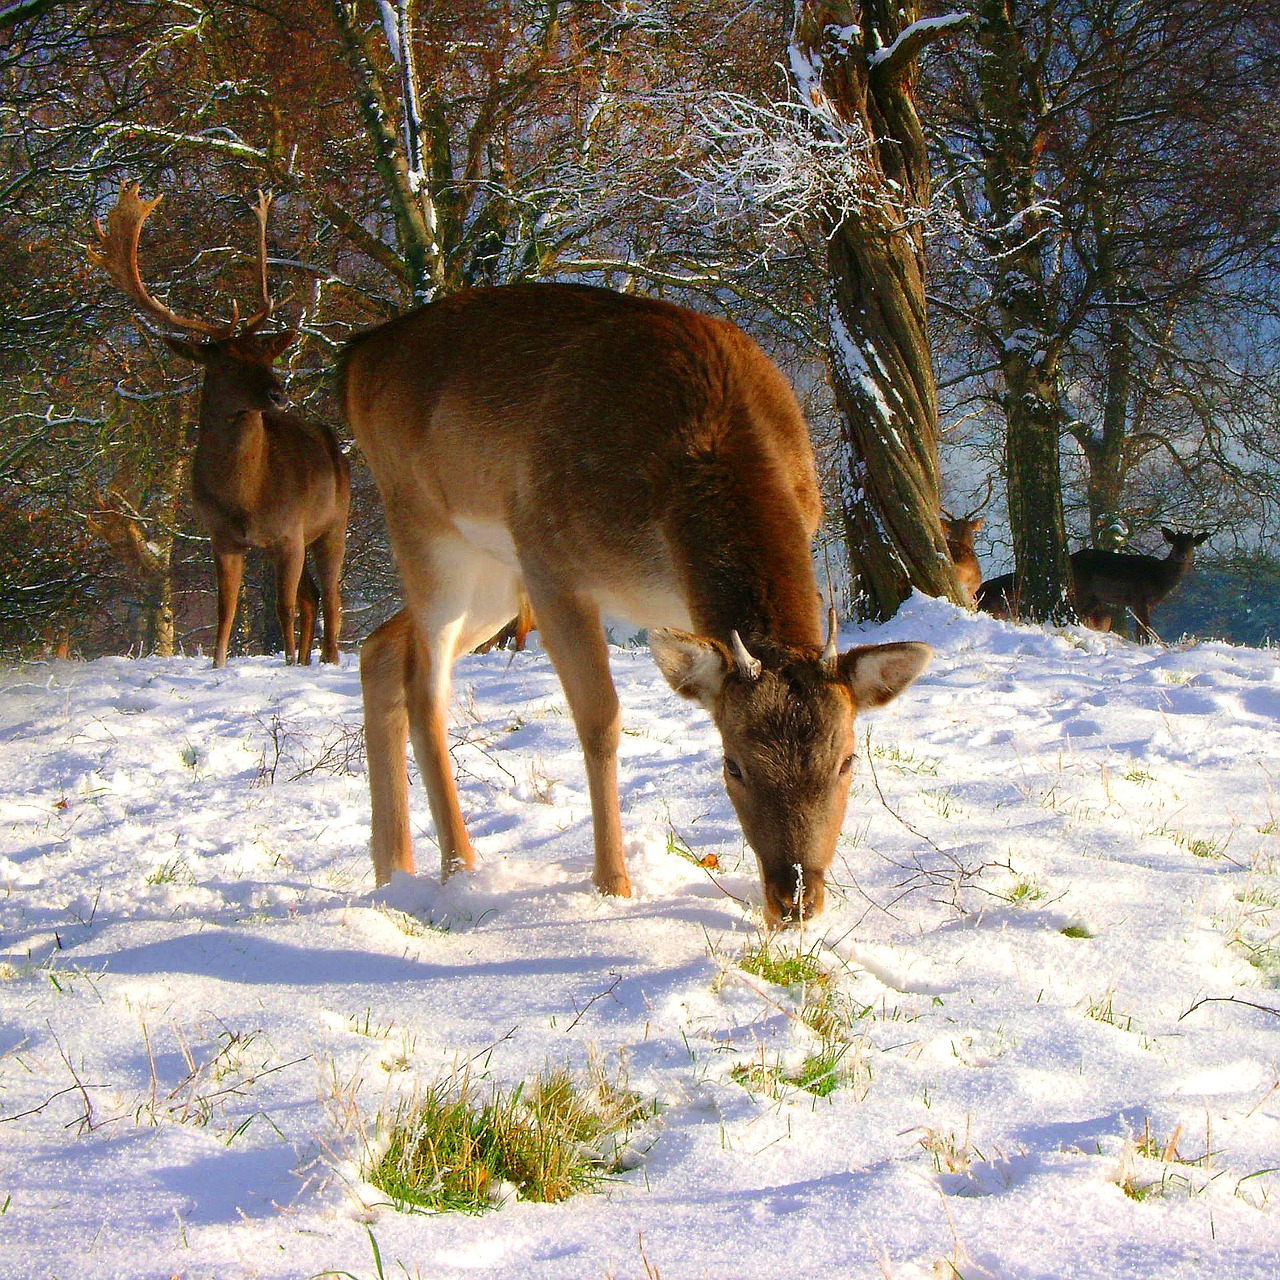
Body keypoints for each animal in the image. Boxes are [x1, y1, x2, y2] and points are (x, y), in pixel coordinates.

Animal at [88, 185, 350, 675]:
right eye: (227, 362)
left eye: (266, 355)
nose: (278, 394)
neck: (244, 495)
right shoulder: (221, 534)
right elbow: (226, 607)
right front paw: (219, 665)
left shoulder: (289, 530)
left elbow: (284, 605)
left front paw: (286, 661)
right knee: (313, 597)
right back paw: (308, 660)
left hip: (333, 522)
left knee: (331, 596)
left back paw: (326, 658)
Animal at [343, 285, 931, 931]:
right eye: (732, 764)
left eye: (848, 760)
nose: (794, 900)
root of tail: (357, 356)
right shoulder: (550, 560)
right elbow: (601, 721)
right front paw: (613, 887)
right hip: (426, 527)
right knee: (426, 687)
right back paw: (460, 871)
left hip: (491, 571)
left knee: (380, 648)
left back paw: (392, 873)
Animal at [1070, 524, 1208, 640]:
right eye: (1175, 543)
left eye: (1191, 544)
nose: (1182, 556)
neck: (1159, 578)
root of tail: (1071, 557)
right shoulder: (1140, 597)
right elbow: (1147, 629)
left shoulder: (1144, 603)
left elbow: (1140, 630)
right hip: (1082, 589)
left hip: (1094, 598)